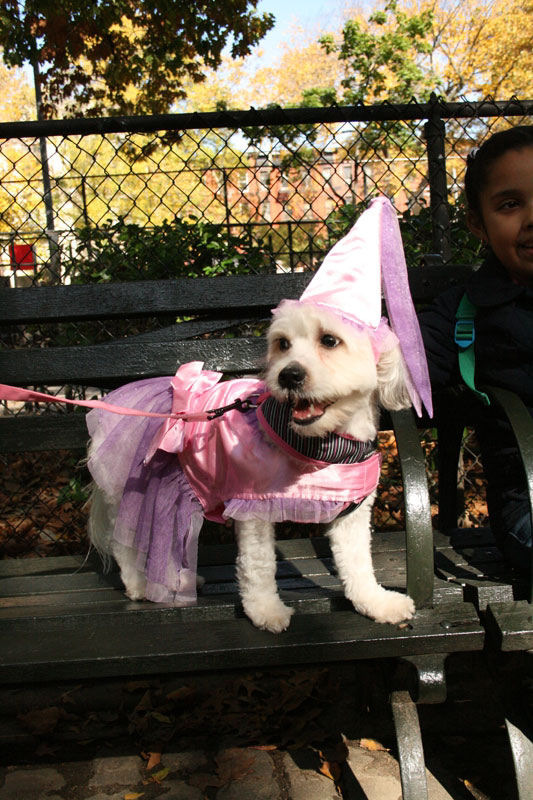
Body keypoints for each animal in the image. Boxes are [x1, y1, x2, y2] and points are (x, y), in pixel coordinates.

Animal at [88, 304, 416, 636]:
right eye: (283, 344)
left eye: (329, 340)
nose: (288, 375)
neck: (320, 446)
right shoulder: (253, 508)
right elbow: (259, 565)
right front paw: (265, 611)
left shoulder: (352, 512)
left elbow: (357, 562)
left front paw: (375, 602)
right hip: (133, 487)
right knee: (125, 544)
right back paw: (141, 584)